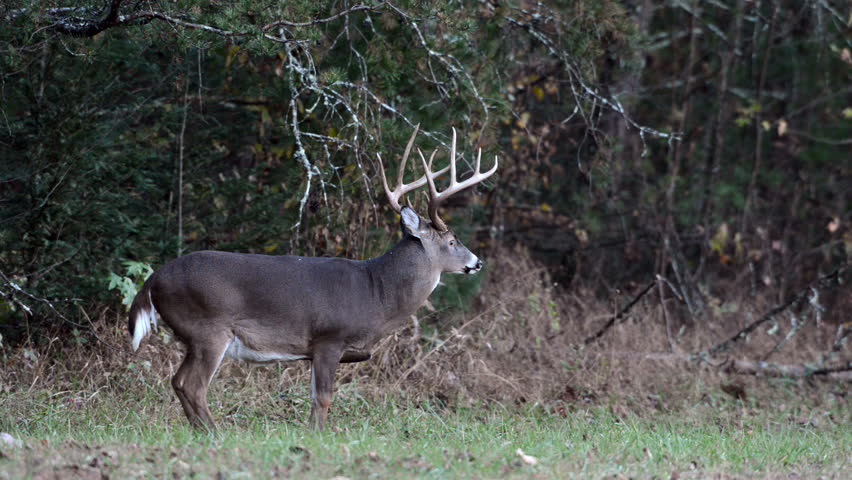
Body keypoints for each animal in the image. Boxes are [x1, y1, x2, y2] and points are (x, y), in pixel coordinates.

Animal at [127, 125, 498, 430]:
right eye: (452, 241)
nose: (478, 262)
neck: (377, 292)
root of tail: (153, 280)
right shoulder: (328, 338)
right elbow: (323, 398)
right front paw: (316, 436)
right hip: (209, 329)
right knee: (192, 385)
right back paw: (216, 433)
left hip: (194, 336)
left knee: (178, 382)